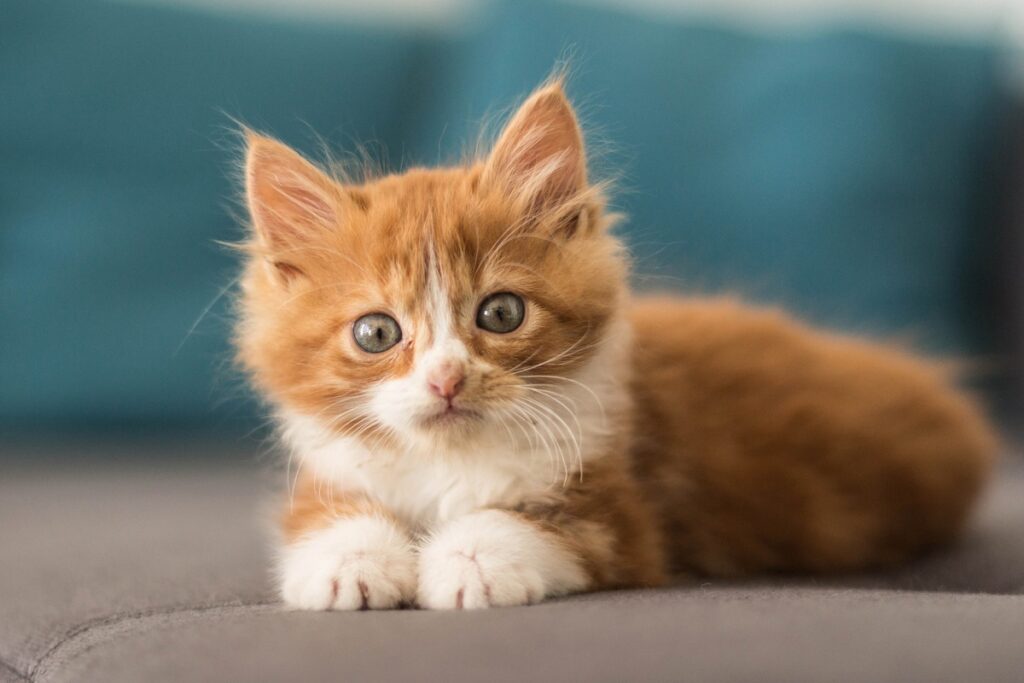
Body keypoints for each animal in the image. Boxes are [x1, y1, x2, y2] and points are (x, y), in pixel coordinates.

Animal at [235, 78, 995, 610]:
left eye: (501, 313)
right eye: (377, 332)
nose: (446, 378)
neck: (450, 462)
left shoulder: (620, 511)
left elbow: (526, 522)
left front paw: (468, 563)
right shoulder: (332, 469)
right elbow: (327, 514)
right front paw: (349, 563)